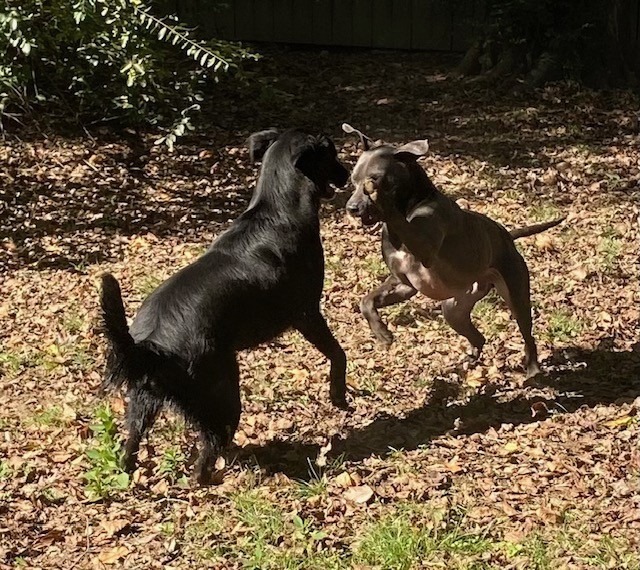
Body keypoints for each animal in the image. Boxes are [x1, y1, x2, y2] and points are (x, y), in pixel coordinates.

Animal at [100, 130, 350, 484]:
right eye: (331, 153)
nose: (347, 174)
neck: (278, 209)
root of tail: (151, 347)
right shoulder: (307, 313)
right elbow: (338, 354)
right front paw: (338, 395)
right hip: (223, 392)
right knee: (208, 453)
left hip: (142, 401)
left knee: (131, 444)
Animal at [342, 124, 564, 378]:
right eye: (353, 180)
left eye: (375, 179)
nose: (351, 207)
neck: (412, 205)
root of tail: (506, 235)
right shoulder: (404, 284)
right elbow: (366, 301)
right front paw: (382, 333)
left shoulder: (425, 250)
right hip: (454, 308)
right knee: (479, 337)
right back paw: (468, 361)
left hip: (515, 294)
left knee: (527, 335)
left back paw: (532, 369)